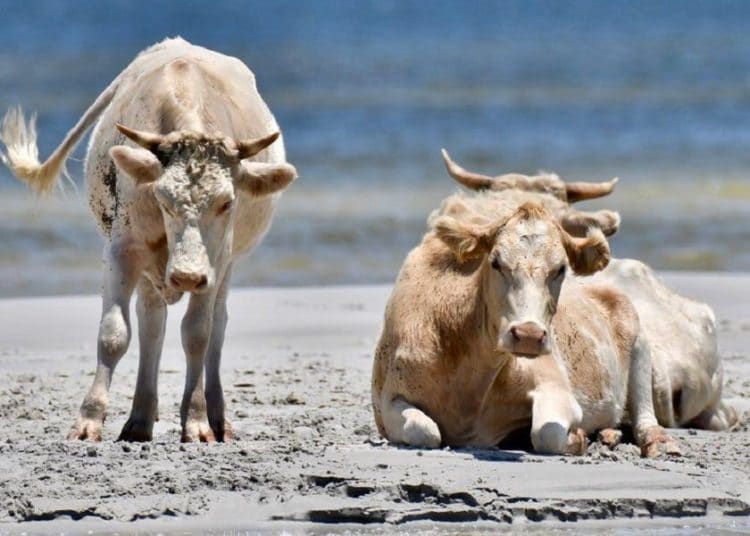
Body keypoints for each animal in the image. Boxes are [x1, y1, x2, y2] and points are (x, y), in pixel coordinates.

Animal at [0, 38, 297, 442]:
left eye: (227, 202)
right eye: (162, 198)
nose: (186, 276)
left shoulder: (215, 262)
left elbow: (198, 334)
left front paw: (197, 422)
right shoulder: (123, 250)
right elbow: (114, 333)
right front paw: (88, 420)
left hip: (226, 266)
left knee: (217, 326)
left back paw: (217, 418)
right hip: (148, 270)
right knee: (151, 322)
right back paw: (140, 419)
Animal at [371, 197, 678, 457]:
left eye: (561, 269)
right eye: (495, 262)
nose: (528, 335)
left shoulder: (556, 386)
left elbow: (547, 435)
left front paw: (577, 437)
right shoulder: (387, 400)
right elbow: (424, 431)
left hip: (638, 340)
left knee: (645, 415)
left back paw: (657, 443)